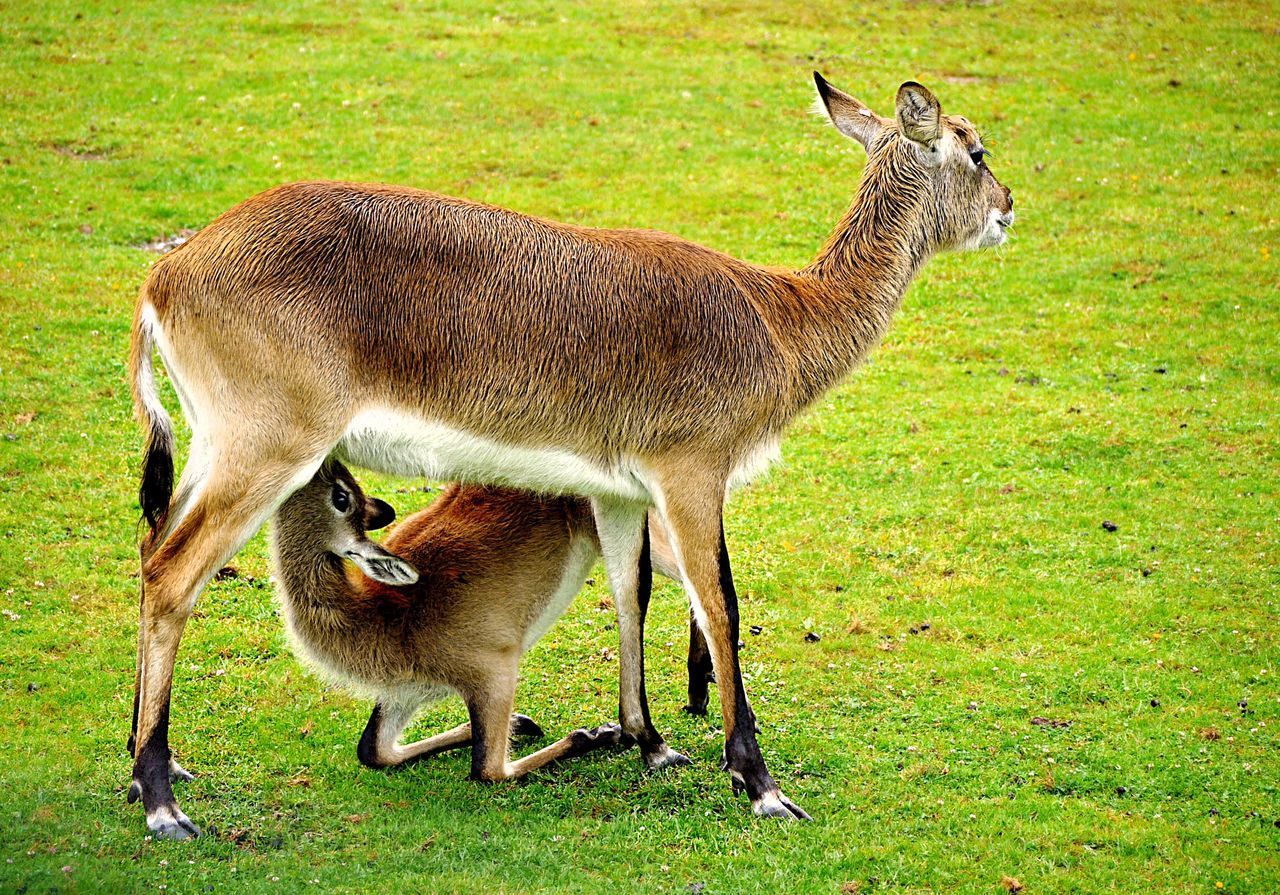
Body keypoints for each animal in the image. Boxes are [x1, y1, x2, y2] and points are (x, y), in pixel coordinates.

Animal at [271, 460, 680, 783]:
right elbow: (373, 750)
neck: (384, 619)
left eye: (342, 496)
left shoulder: (494, 674)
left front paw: (601, 732)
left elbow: (489, 770)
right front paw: (522, 721)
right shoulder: (403, 695)